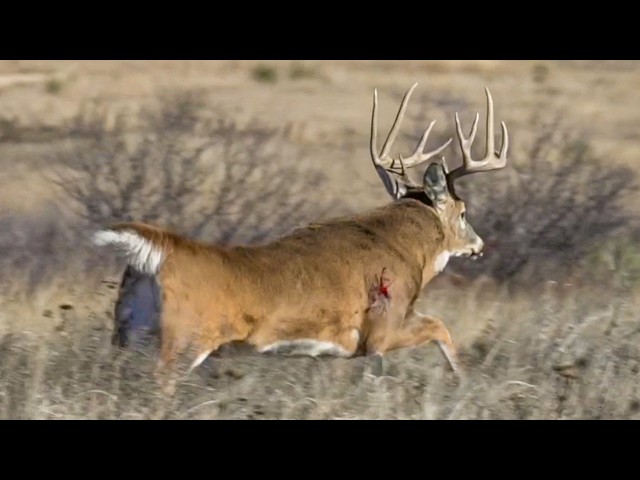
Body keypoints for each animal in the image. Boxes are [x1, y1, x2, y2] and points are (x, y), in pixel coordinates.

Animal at [94, 83, 508, 391]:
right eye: (464, 212)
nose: (479, 245)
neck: (408, 249)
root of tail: (162, 252)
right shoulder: (381, 330)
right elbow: (442, 327)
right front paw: (464, 382)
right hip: (184, 338)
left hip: (127, 330)